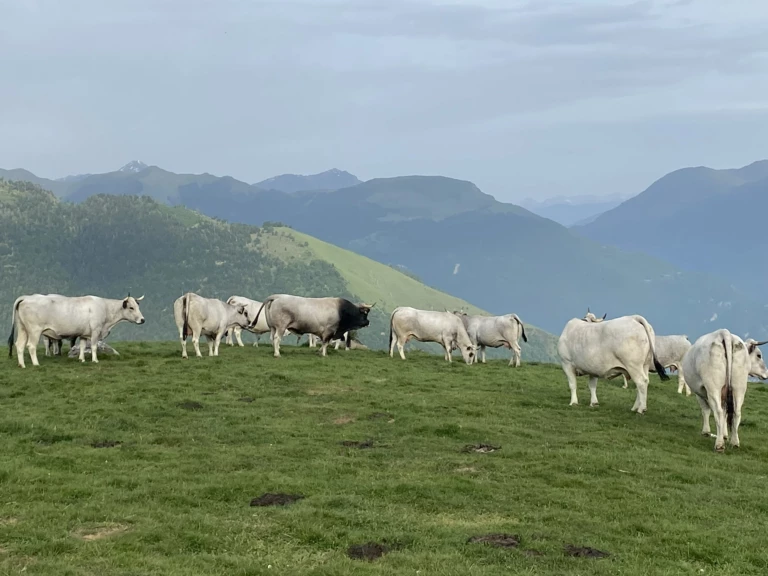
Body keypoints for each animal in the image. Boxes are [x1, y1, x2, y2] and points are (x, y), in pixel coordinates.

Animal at [8, 293, 145, 368]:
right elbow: (93, 346)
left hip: (23, 329)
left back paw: (22, 365)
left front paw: (81, 359)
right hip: (34, 330)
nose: (142, 320)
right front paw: (95, 360)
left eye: (138, 306)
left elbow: (83, 346)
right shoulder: (96, 330)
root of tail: (26, 297)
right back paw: (36, 364)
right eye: (131, 307)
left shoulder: (84, 334)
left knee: (19, 345)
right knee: (31, 346)